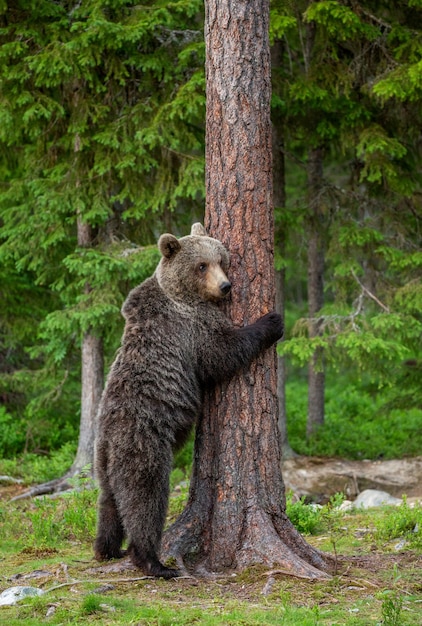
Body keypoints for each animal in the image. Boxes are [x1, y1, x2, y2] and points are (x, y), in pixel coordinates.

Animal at [93, 222, 284, 576]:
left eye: (222, 260)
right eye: (201, 265)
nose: (225, 287)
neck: (181, 294)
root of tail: (110, 439)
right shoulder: (191, 327)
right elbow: (221, 353)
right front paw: (271, 321)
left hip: (103, 456)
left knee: (108, 501)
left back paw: (107, 548)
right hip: (144, 442)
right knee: (145, 497)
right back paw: (152, 560)